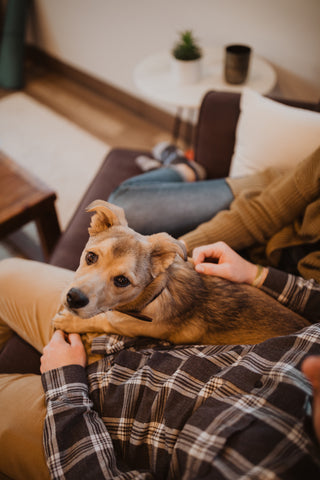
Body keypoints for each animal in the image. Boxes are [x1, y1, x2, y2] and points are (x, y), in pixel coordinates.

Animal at [53, 201, 312, 354]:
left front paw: (70, 321)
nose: (74, 298)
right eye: (91, 257)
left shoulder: (129, 327)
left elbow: (101, 320)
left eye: (122, 281)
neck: (155, 295)